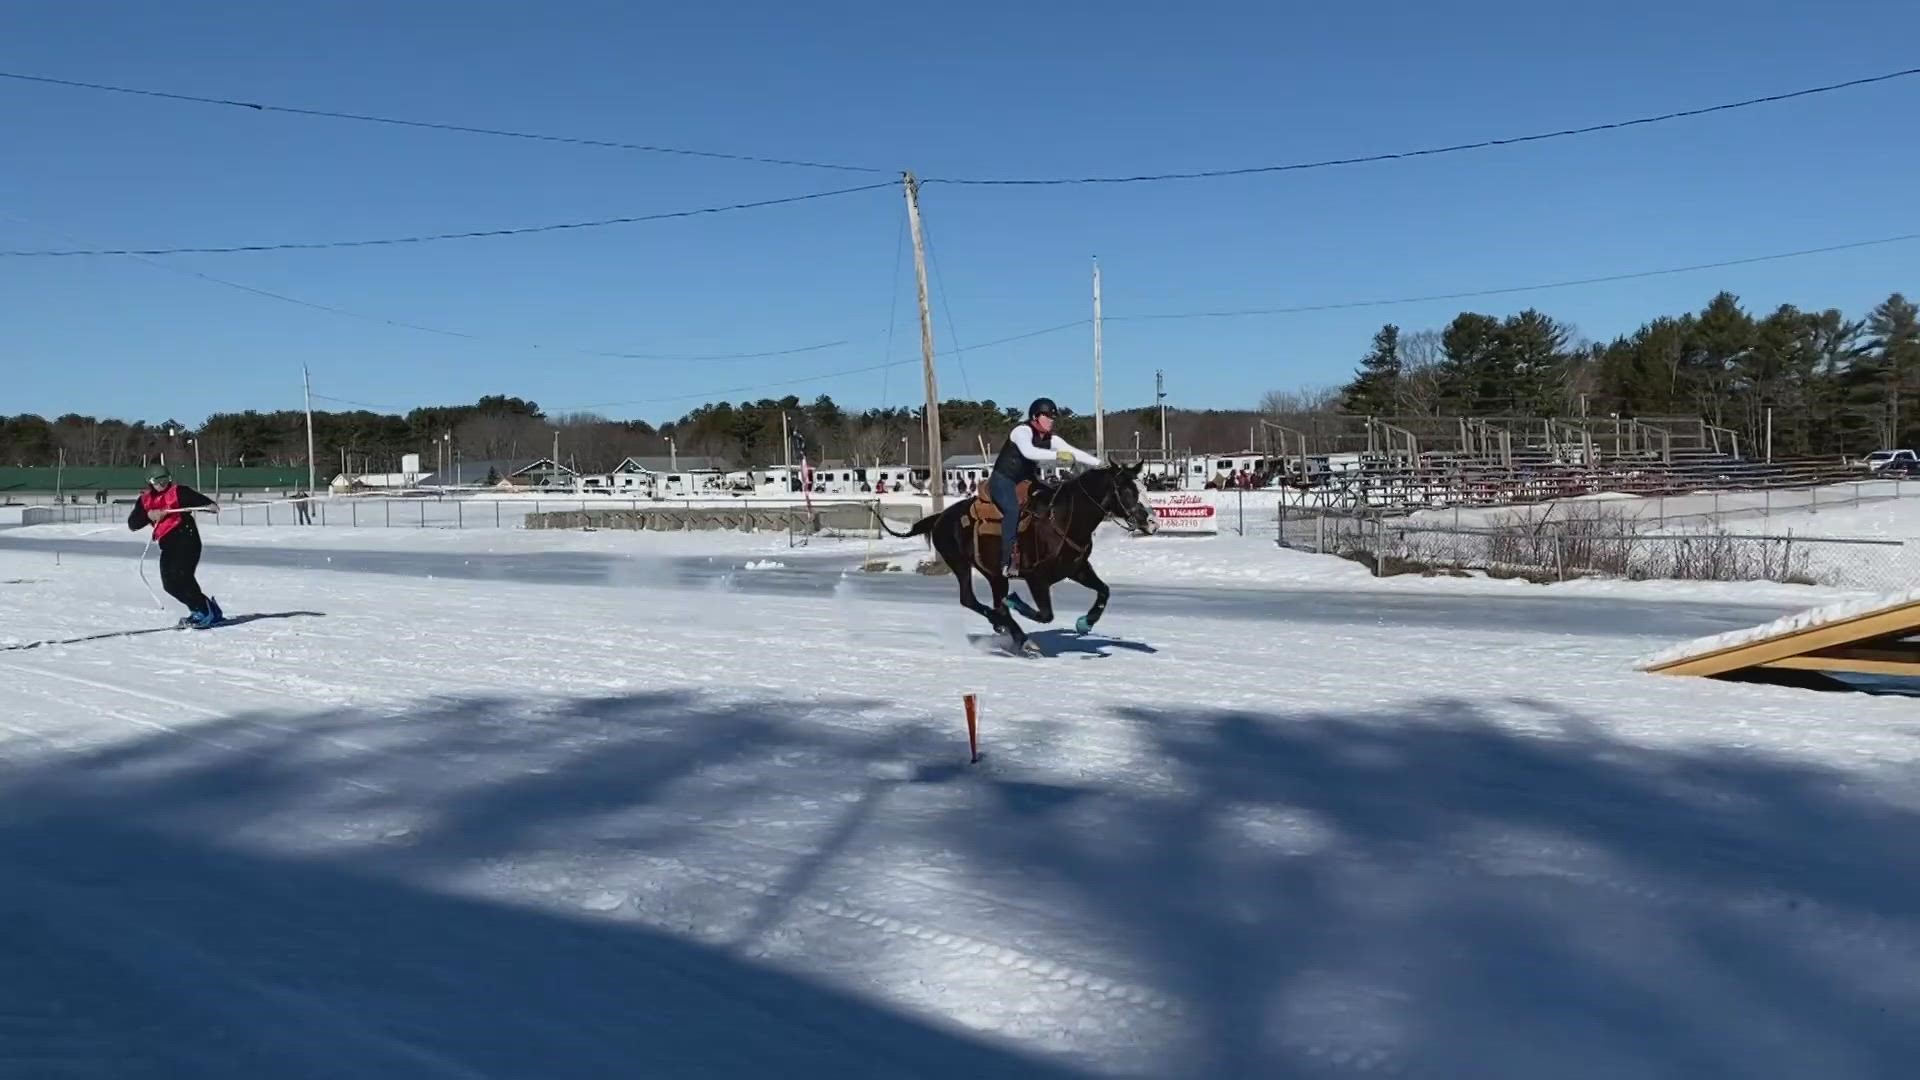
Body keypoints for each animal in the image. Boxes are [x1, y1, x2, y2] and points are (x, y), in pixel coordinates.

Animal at [879, 457, 1152, 653]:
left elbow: (1104, 591)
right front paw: (1017, 605)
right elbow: (1045, 614)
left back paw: (1004, 624)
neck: (1063, 518)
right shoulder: (1036, 578)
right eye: (1126, 489)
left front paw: (1085, 622)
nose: (1151, 521)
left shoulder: (1077, 568)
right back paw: (1015, 632)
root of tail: (940, 517)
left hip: (993, 574)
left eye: (1143, 486)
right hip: (961, 564)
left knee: (989, 601)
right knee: (970, 599)